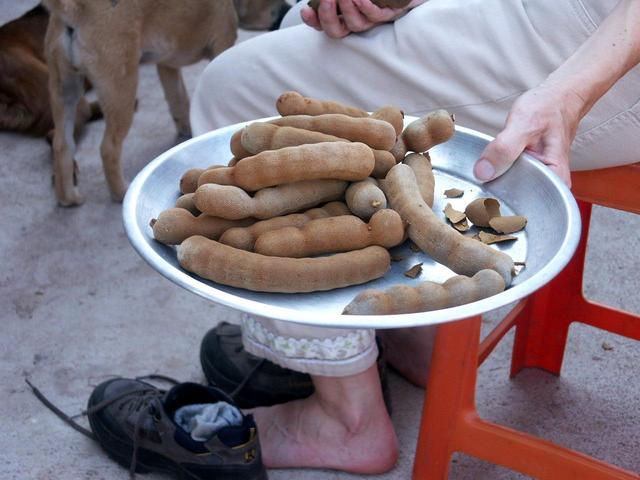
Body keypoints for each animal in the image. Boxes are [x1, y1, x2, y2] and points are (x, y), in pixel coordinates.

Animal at [46, 0, 292, 204]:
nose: (288, 9)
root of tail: (75, 10)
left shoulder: (167, 66)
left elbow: (178, 101)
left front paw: (184, 129)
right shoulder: (221, 43)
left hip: (64, 91)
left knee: (62, 144)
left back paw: (67, 197)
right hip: (121, 87)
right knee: (109, 147)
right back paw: (120, 192)